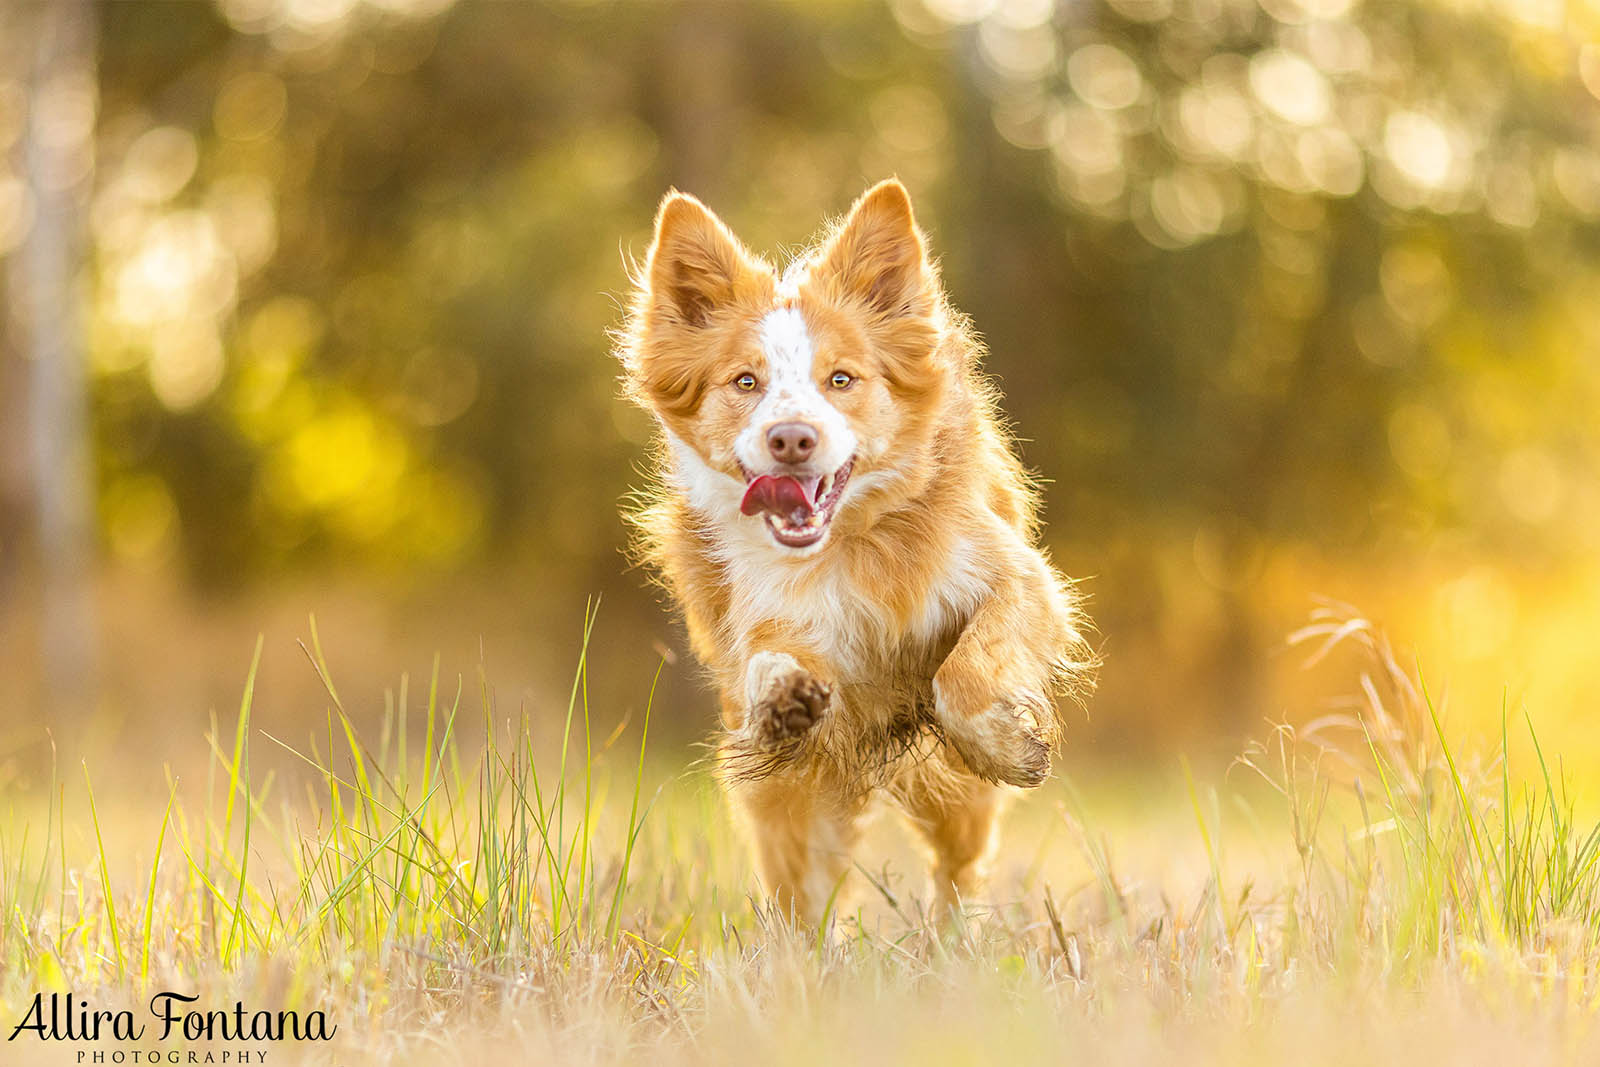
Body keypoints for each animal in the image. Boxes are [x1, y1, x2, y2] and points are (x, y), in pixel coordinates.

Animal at [617, 179, 1094, 921]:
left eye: (840, 379)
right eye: (746, 382)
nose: (791, 438)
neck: (848, 544)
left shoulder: (1016, 576)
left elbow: (962, 677)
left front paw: (1008, 746)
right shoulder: (769, 623)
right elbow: (767, 662)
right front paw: (783, 695)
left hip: (950, 795)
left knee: (957, 867)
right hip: (781, 797)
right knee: (802, 893)